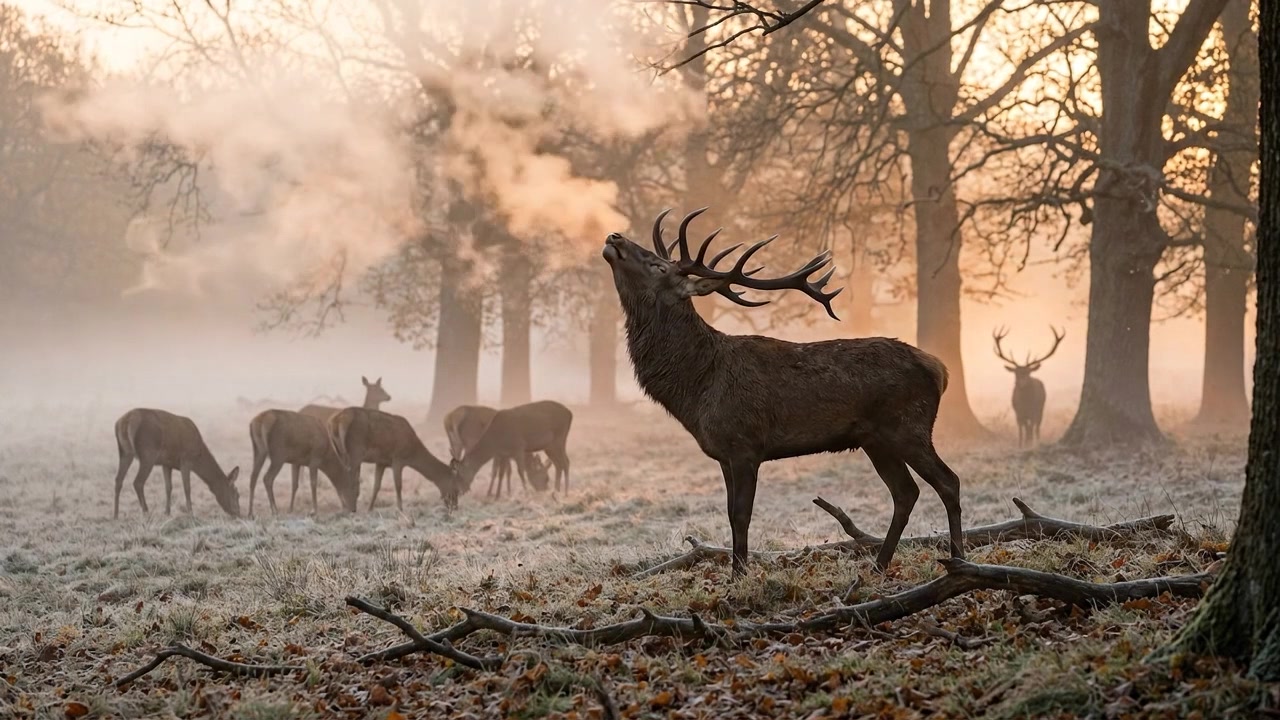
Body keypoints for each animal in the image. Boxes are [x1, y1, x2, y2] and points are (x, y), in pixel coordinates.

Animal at [112, 409, 241, 519]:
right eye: (236, 494)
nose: (238, 514)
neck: (199, 457)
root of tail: (124, 421)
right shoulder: (186, 460)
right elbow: (187, 488)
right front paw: (191, 514)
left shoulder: (166, 464)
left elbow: (168, 487)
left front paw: (167, 513)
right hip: (148, 453)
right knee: (138, 482)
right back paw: (146, 513)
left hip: (124, 452)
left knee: (118, 480)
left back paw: (116, 515)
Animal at [329, 407, 461, 511]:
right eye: (454, 485)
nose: (455, 506)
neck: (412, 453)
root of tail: (337, 420)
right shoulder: (398, 458)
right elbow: (398, 485)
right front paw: (400, 509)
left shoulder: (381, 462)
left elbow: (376, 486)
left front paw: (370, 509)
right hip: (356, 450)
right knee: (349, 479)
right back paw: (351, 508)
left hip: (339, 451)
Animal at [601, 208, 965, 577]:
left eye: (659, 266)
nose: (614, 237)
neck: (698, 388)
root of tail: (940, 368)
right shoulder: (723, 454)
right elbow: (730, 514)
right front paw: (736, 573)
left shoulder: (745, 444)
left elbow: (741, 515)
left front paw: (740, 575)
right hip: (875, 440)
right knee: (906, 492)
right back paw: (879, 565)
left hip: (909, 426)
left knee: (948, 481)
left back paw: (958, 558)